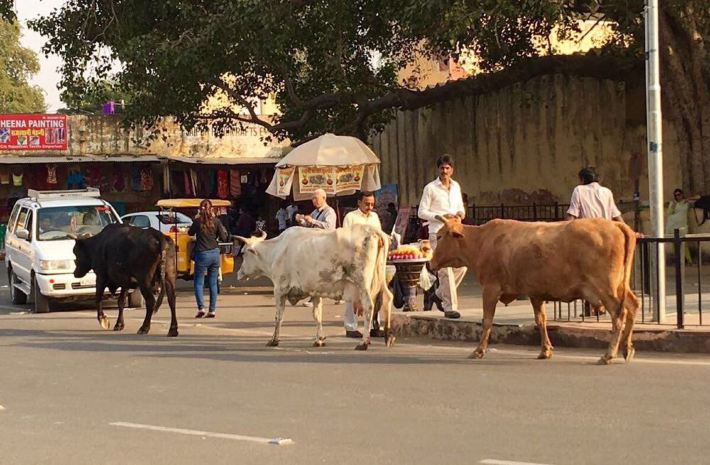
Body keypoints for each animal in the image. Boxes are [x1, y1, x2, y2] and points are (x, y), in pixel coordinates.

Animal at [238, 224, 394, 348]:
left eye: (243, 253)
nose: (239, 273)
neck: (276, 251)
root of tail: (373, 230)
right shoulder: (316, 292)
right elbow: (317, 315)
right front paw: (319, 340)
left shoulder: (279, 290)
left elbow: (278, 316)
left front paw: (274, 340)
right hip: (381, 278)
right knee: (387, 298)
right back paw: (388, 336)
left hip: (362, 283)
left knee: (369, 306)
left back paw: (364, 342)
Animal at [432, 216, 644, 364]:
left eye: (439, 236)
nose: (431, 263)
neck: (481, 241)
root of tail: (617, 226)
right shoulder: (535, 292)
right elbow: (541, 320)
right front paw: (545, 350)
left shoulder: (491, 288)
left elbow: (487, 321)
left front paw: (478, 351)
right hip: (620, 285)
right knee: (633, 306)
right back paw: (627, 348)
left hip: (605, 286)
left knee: (619, 314)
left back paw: (608, 355)